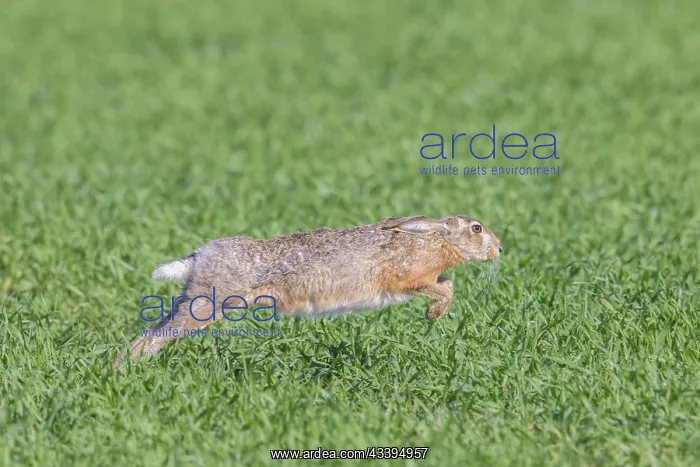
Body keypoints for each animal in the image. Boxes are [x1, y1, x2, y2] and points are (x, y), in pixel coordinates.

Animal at [113, 215, 502, 371]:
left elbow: (445, 285)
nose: (499, 248)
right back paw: (123, 370)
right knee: (157, 335)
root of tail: (198, 257)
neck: (435, 240)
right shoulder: (407, 280)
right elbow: (444, 287)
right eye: (476, 228)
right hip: (208, 304)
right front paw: (434, 314)